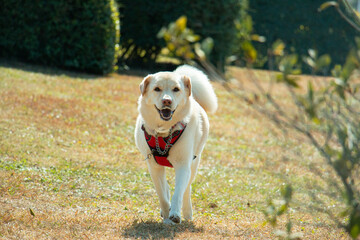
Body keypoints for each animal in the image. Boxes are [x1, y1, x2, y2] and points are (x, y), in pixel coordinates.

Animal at [134, 64, 215, 224]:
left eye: (176, 89)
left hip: (194, 163)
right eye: (157, 89)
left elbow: (178, 192)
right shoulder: (154, 167)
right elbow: (162, 195)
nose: (167, 101)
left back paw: (187, 213)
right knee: (166, 187)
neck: (164, 132)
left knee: (187, 189)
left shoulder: (183, 165)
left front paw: (175, 214)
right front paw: (166, 216)